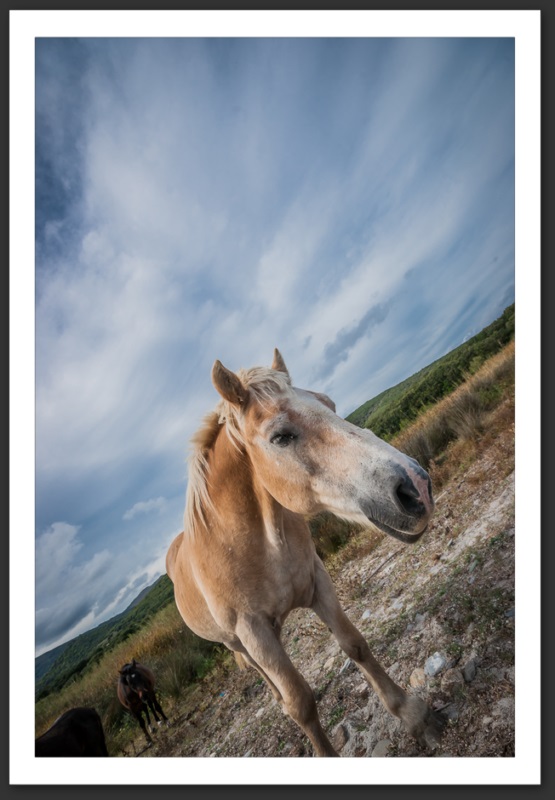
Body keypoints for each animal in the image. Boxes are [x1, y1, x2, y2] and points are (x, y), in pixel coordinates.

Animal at [166, 349, 445, 757]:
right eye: (281, 436)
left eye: (329, 404)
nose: (416, 487)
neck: (256, 545)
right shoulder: (253, 631)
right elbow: (300, 702)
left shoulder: (318, 582)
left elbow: (355, 645)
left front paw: (411, 714)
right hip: (236, 641)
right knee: (261, 674)